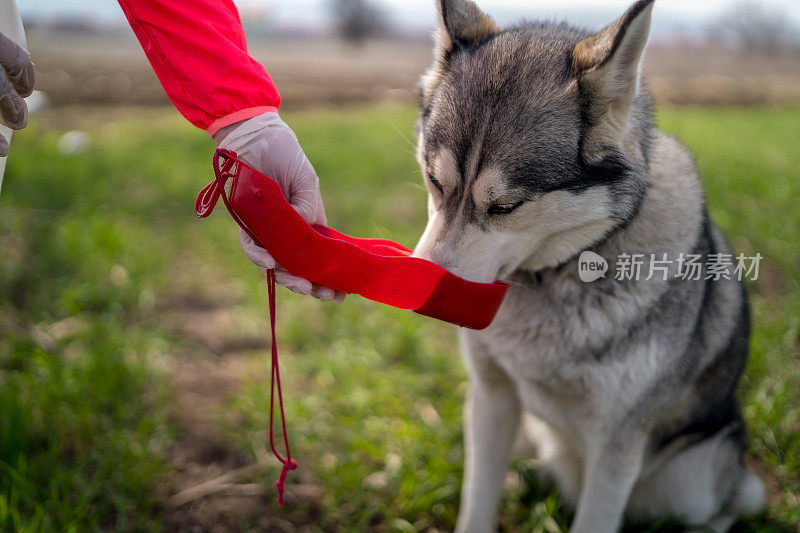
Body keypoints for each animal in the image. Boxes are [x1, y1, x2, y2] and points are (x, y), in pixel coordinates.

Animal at [416, 1, 764, 532]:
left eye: (506, 206)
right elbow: (476, 502)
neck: (555, 274)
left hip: (692, 479)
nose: (418, 291)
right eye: (435, 182)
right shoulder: (492, 397)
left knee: (733, 502)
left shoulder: (617, 446)